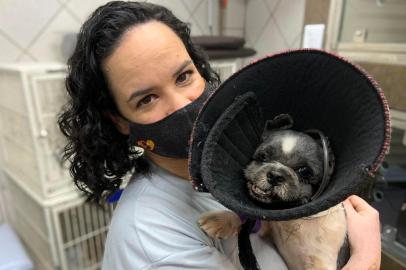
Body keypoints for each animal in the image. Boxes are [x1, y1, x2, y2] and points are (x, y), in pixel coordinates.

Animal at [198, 114, 350, 270]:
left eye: (304, 171)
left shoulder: (321, 262)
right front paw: (220, 220)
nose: (276, 175)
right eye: (263, 157)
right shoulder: (268, 228)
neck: (295, 221)